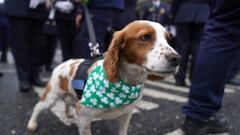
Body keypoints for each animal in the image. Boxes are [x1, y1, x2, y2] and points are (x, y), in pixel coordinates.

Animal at [26, 20, 180, 134]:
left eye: (168, 39)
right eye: (146, 36)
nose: (177, 59)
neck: (126, 83)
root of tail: (63, 63)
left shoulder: (126, 115)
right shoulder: (84, 119)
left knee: (68, 101)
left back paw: (68, 113)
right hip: (51, 96)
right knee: (37, 107)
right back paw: (32, 124)